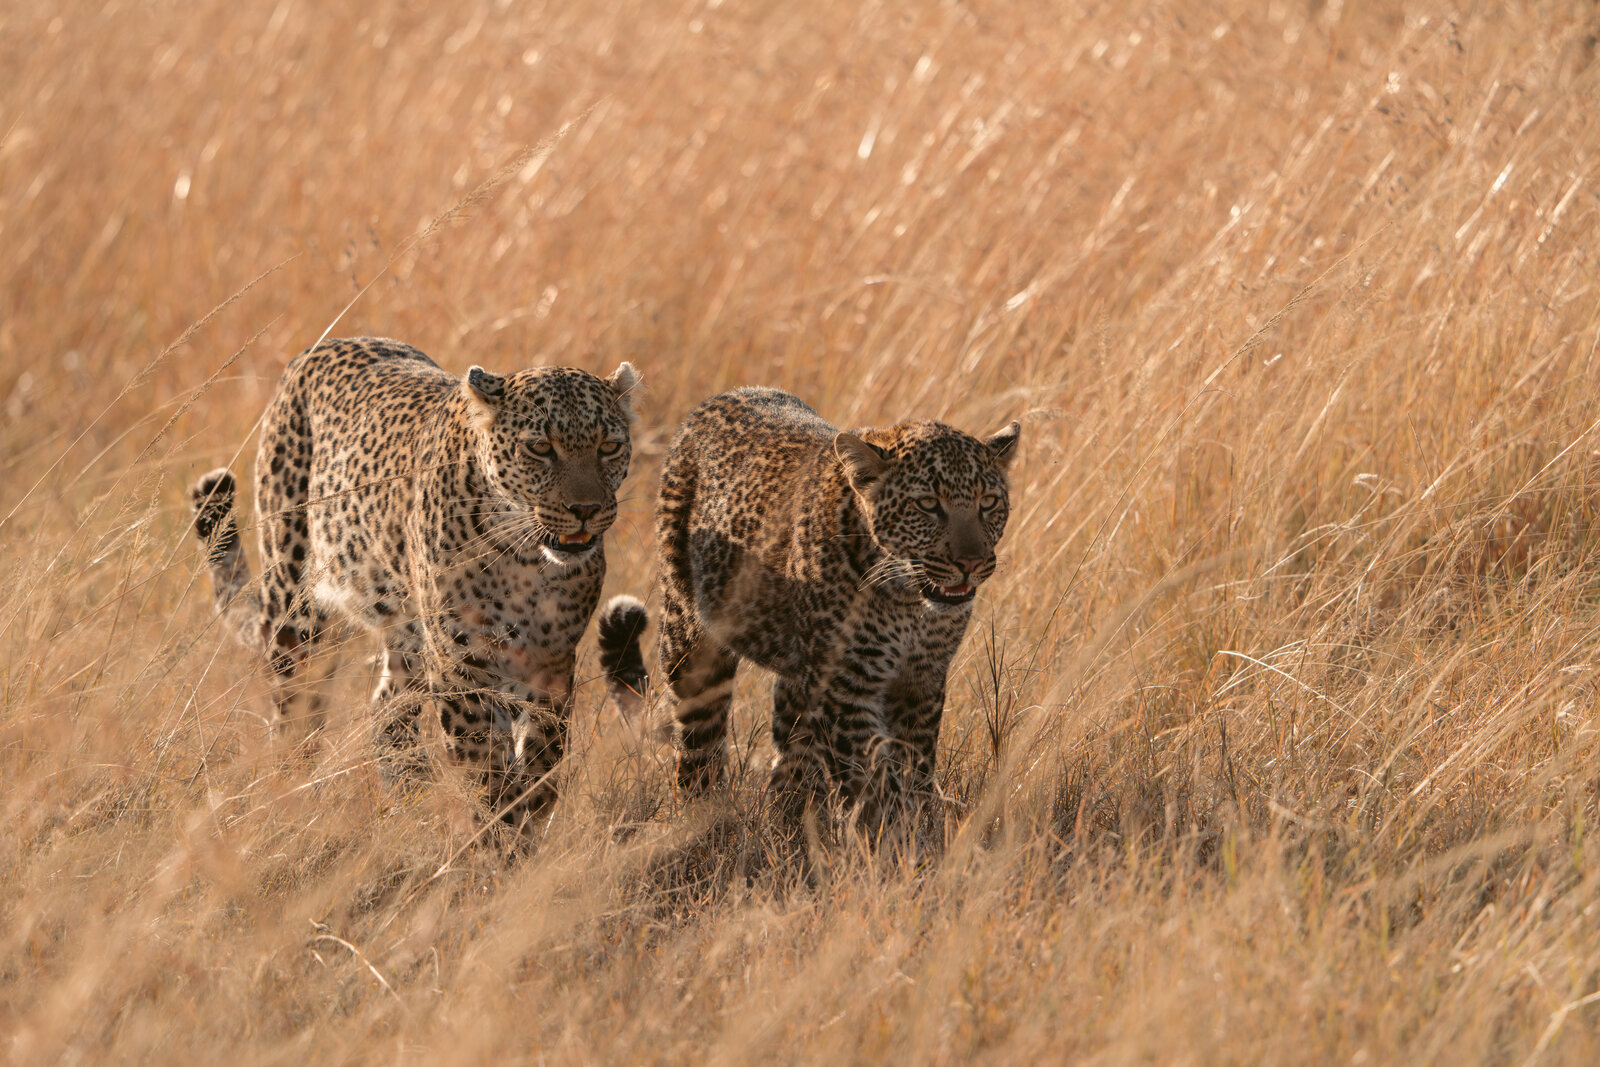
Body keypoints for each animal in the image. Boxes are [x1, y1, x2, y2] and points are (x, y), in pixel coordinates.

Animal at [190, 336, 649, 830]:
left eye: (609, 446)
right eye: (540, 448)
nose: (585, 509)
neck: (526, 558)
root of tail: (322, 347)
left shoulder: (552, 661)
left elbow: (545, 759)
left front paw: (527, 819)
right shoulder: (460, 663)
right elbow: (487, 768)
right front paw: (501, 833)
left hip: (406, 633)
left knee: (386, 711)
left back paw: (410, 801)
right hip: (295, 602)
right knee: (295, 707)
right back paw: (295, 795)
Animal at [655, 386, 1020, 835]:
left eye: (989, 503)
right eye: (927, 504)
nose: (971, 562)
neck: (908, 600)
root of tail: (722, 397)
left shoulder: (921, 680)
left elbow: (913, 768)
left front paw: (920, 832)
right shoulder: (846, 685)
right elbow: (875, 783)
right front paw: (893, 841)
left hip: (800, 670)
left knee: (793, 748)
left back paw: (792, 824)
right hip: (689, 635)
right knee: (698, 736)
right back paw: (699, 818)